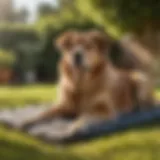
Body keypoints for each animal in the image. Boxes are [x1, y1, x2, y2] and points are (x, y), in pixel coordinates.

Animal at [20, 30, 154, 135]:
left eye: (89, 46)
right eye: (72, 46)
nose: (77, 54)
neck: (81, 82)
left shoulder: (104, 110)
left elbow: (84, 117)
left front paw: (73, 127)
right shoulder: (63, 106)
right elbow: (43, 114)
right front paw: (27, 121)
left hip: (140, 78)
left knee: (147, 105)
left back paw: (137, 109)